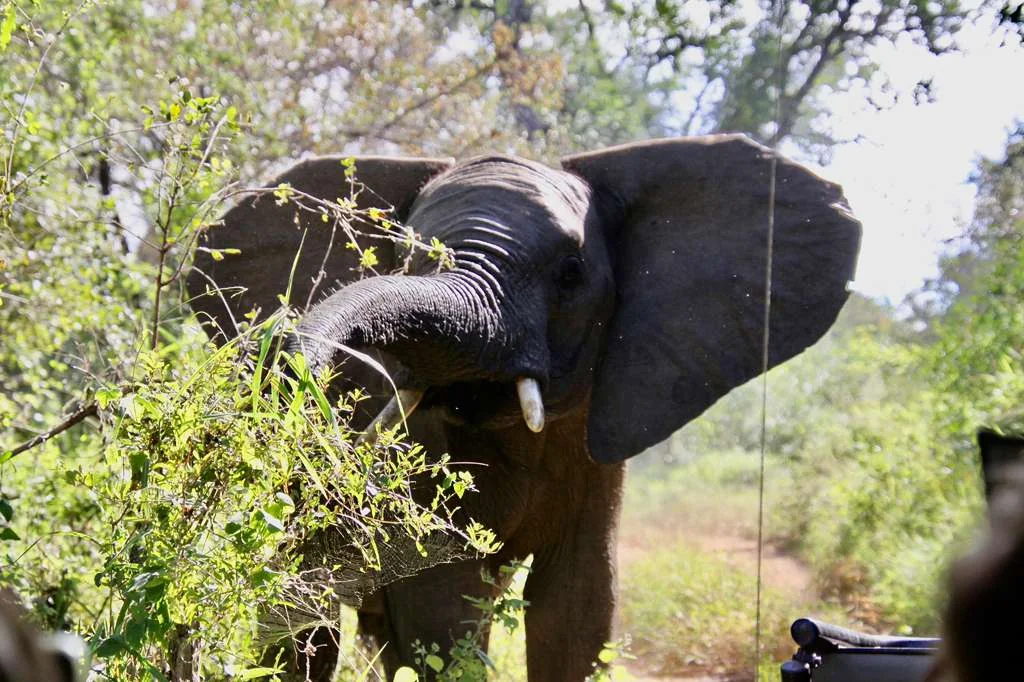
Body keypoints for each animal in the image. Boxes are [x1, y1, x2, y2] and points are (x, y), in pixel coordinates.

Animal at [187, 135, 861, 681]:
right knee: (303, 629)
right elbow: (444, 603)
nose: (294, 363)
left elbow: (578, 606)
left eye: (571, 272)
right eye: (405, 261)